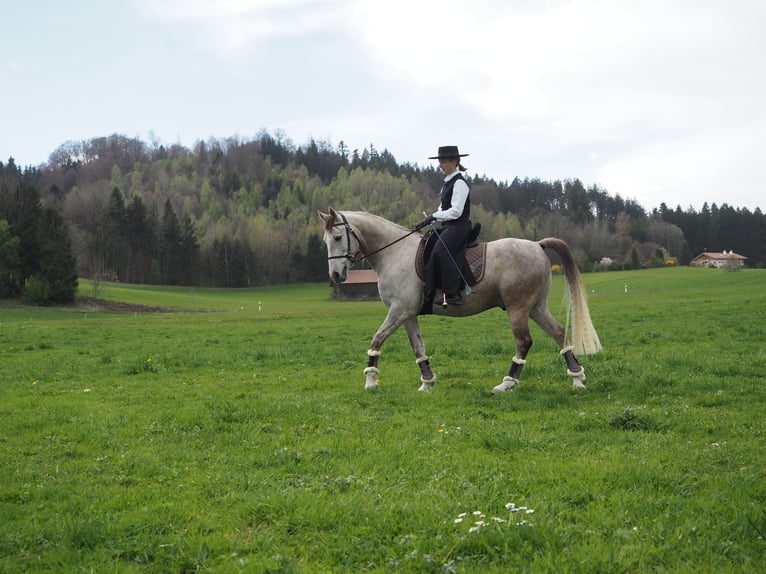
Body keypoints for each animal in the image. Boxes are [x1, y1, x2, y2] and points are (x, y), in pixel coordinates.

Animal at [319, 208, 601, 393]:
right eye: (325, 240)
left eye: (337, 238)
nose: (335, 276)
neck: (394, 252)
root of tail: (537, 245)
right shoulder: (408, 314)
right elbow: (418, 348)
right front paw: (427, 383)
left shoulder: (399, 311)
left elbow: (377, 339)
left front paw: (370, 380)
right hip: (536, 308)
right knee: (560, 333)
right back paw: (577, 379)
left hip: (518, 308)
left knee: (524, 342)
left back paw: (508, 383)